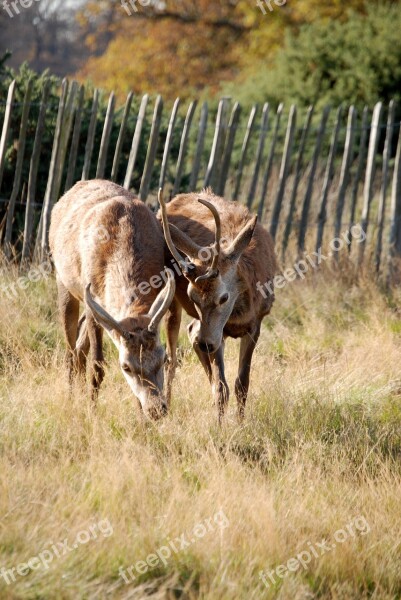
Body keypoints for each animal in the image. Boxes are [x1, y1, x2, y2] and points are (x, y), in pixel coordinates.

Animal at [49, 180, 174, 420]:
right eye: (125, 366)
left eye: (163, 358)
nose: (157, 410)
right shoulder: (93, 302)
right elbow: (97, 365)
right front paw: (91, 412)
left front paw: (141, 419)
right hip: (63, 281)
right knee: (70, 349)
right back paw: (71, 398)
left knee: (79, 347)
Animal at [157, 189, 278, 422]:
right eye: (192, 296)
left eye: (223, 297)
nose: (206, 344)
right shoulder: (217, 334)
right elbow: (221, 388)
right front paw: (220, 426)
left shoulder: (256, 323)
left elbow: (242, 384)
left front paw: (240, 424)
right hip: (171, 299)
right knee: (171, 357)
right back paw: (165, 406)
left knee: (191, 332)